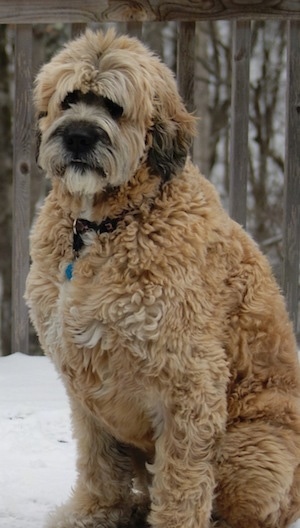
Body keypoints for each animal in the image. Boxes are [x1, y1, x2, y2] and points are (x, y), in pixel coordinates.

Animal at [25, 28, 300, 528]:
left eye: (114, 107)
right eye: (70, 99)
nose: (78, 136)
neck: (100, 227)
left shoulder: (189, 378)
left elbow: (181, 478)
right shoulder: (84, 385)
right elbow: (99, 461)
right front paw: (96, 512)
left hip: (252, 451)